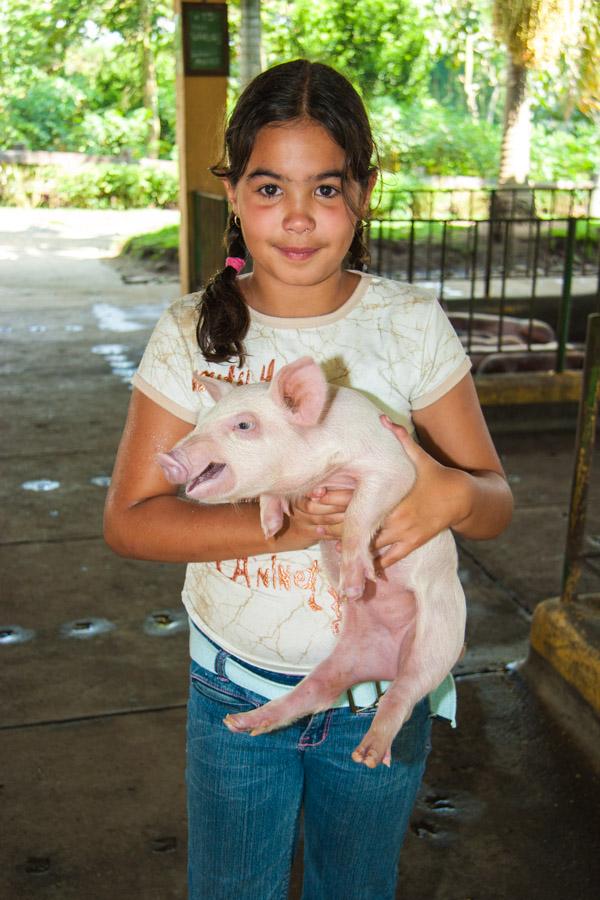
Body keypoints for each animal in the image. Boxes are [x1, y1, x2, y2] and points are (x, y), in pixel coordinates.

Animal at [157, 356, 466, 768]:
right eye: (203, 420)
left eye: (244, 425)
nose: (166, 458)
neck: (322, 468)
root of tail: (384, 664)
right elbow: (272, 495)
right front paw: (271, 528)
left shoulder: (393, 467)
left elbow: (360, 512)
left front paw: (353, 586)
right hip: (347, 655)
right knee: (318, 690)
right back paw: (240, 722)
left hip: (439, 636)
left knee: (407, 689)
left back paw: (368, 755)